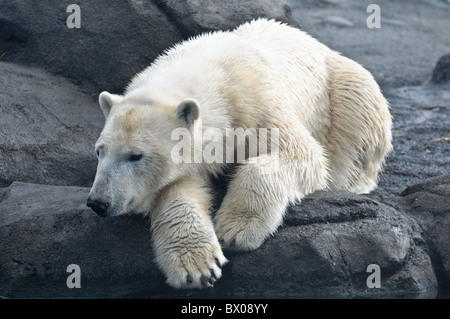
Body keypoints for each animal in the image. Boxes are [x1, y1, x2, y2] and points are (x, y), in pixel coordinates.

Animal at [87, 19, 390, 290]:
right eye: (100, 151)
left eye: (135, 155)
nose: (98, 202)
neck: (215, 73)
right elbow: (176, 188)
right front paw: (198, 267)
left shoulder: (258, 106)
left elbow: (300, 154)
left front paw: (236, 229)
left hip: (343, 93)